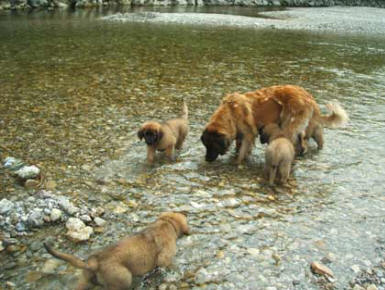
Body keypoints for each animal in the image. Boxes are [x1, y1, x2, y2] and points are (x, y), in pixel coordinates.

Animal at [201, 85, 348, 163]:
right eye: (206, 145)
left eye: (212, 145)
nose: (207, 159)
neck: (230, 112)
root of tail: (308, 97)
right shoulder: (240, 135)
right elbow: (238, 146)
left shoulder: (249, 135)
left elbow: (243, 151)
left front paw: (238, 162)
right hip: (310, 128)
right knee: (311, 143)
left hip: (289, 127)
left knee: (297, 144)